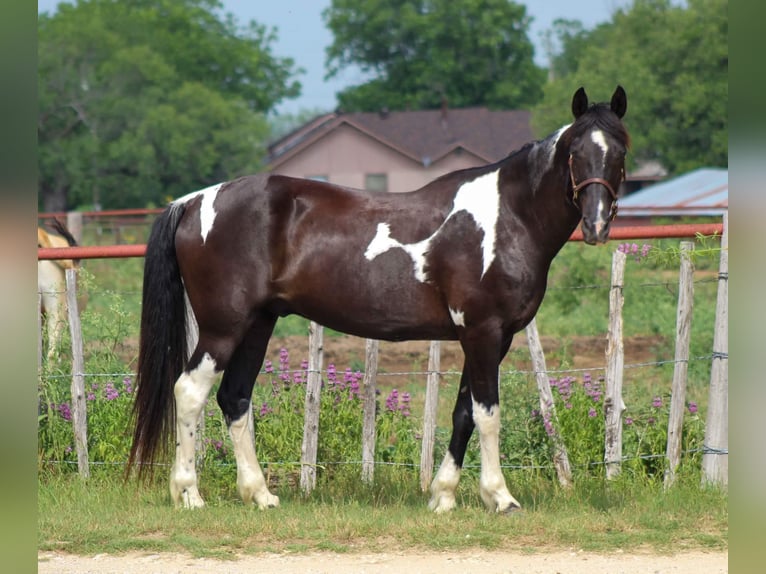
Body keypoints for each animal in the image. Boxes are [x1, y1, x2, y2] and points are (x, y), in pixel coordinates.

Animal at [127, 88, 632, 516]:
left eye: (620, 150)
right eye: (575, 151)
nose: (596, 225)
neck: (506, 218)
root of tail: (193, 202)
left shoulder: (486, 337)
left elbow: (464, 413)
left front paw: (443, 497)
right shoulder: (485, 332)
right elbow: (488, 414)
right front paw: (500, 497)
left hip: (258, 324)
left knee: (235, 398)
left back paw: (260, 494)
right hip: (223, 327)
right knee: (190, 391)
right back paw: (189, 494)